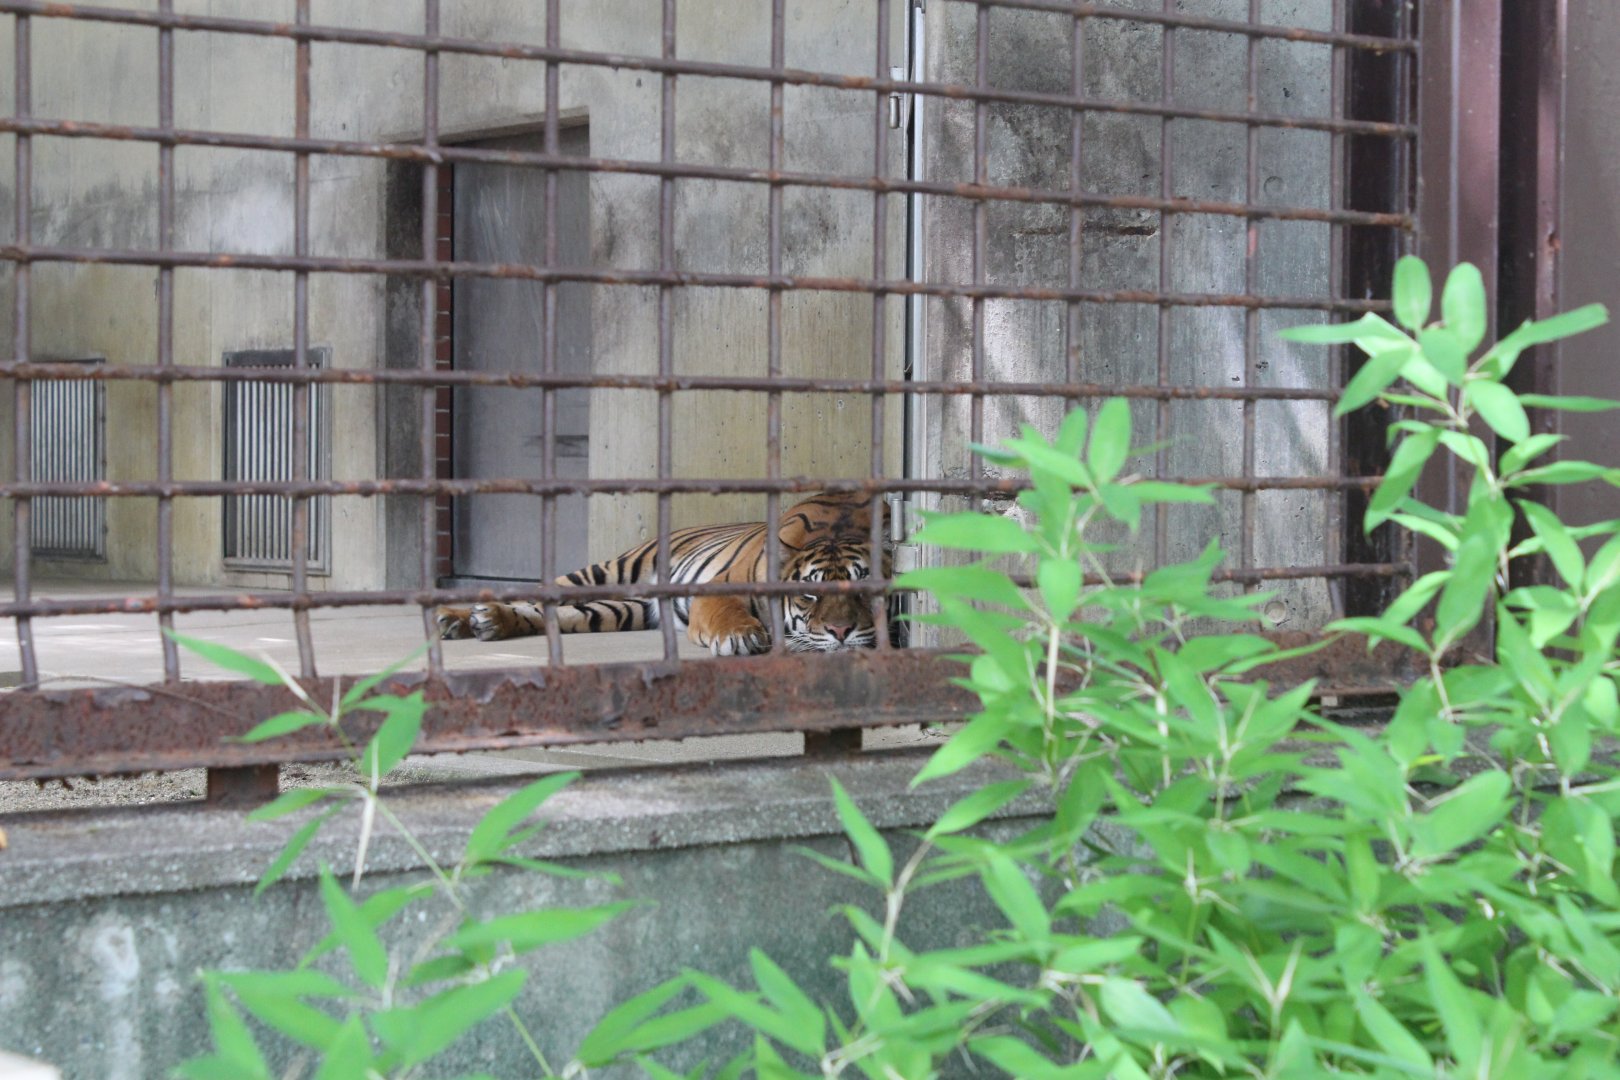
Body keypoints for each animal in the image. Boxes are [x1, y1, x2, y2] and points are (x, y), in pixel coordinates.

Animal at [435, 492, 892, 656]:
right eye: (809, 594)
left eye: (863, 589)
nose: (840, 632)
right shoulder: (720, 587)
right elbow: (727, 614)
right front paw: (740, 636)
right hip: (606, 572)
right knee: (539, 594)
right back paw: (456, 619)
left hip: (619, 609)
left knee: (554, 614)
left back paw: (490, 622)